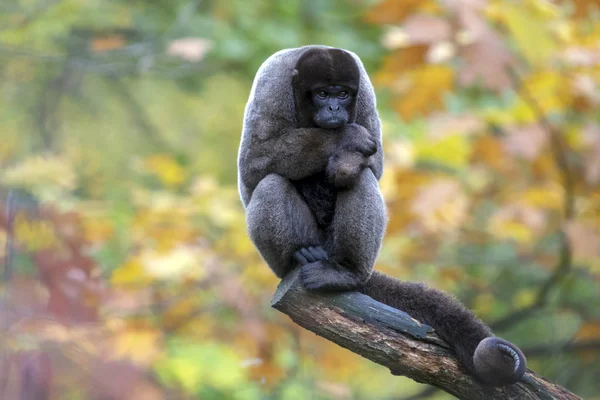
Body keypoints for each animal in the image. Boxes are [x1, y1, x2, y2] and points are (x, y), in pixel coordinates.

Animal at [237, 45, 528, 386]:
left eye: (343, 93)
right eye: (322, 93)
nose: (335, 107)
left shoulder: (363, 87)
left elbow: (373, 168)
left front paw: (345, 162)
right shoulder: (271, 84)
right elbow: (253, 165)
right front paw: (344, 140)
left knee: (361, 179)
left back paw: (346, 271)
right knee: (270, 183)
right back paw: (301, 255)